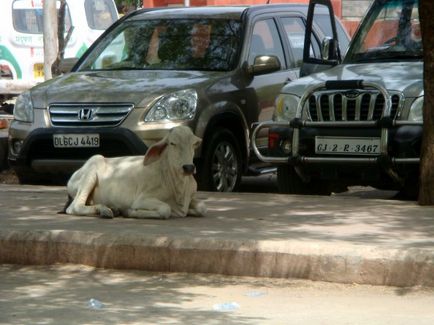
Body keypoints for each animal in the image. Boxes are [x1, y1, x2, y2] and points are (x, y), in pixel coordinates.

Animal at [64, 125, 207, 219]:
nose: (189, 167)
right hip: (91, 171)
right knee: (74, 207)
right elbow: (165, 209)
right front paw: (129, 212)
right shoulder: (142, 199)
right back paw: (106, 211)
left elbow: (202, 207)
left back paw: (112, 209)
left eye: (194, 144)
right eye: (172, 143)